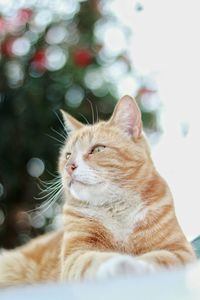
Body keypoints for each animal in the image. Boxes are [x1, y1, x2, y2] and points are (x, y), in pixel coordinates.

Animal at [0, 95, 195, 288]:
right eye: (68, 155)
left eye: (97, 149)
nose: (69, 167)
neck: (116, 210)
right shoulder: (76, 255)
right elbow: (95, 260)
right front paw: (120, 263)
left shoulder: (180, 251)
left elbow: (159, 259)